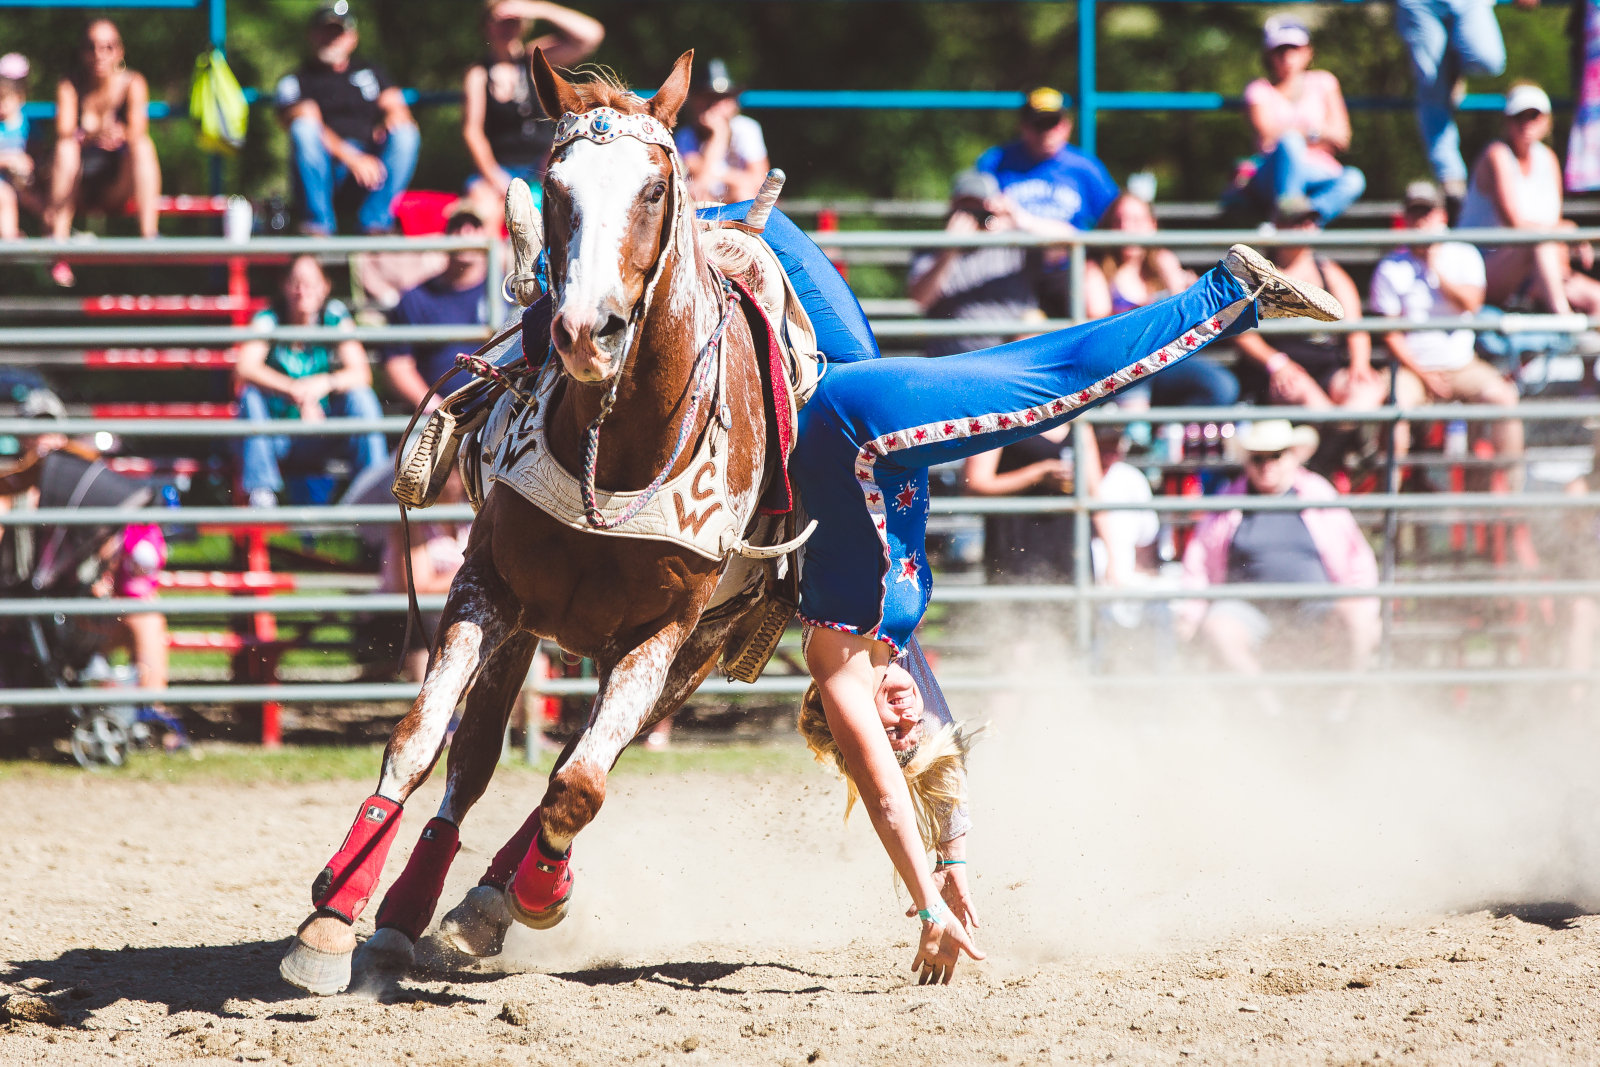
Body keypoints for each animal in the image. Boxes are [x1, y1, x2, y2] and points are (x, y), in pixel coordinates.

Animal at [284, 49, 796, 998]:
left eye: (654, 188)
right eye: (556, 191)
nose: (586, 331)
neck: (622, 448)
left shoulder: (666, 633)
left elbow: (579, 783)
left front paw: (536, 893)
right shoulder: (486, 585)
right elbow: (419, 739)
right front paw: (332, 915)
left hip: (697, 652)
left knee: (574, 766)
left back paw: (497, 897)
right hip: (524, 627)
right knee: (478, 758)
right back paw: (410, 909)